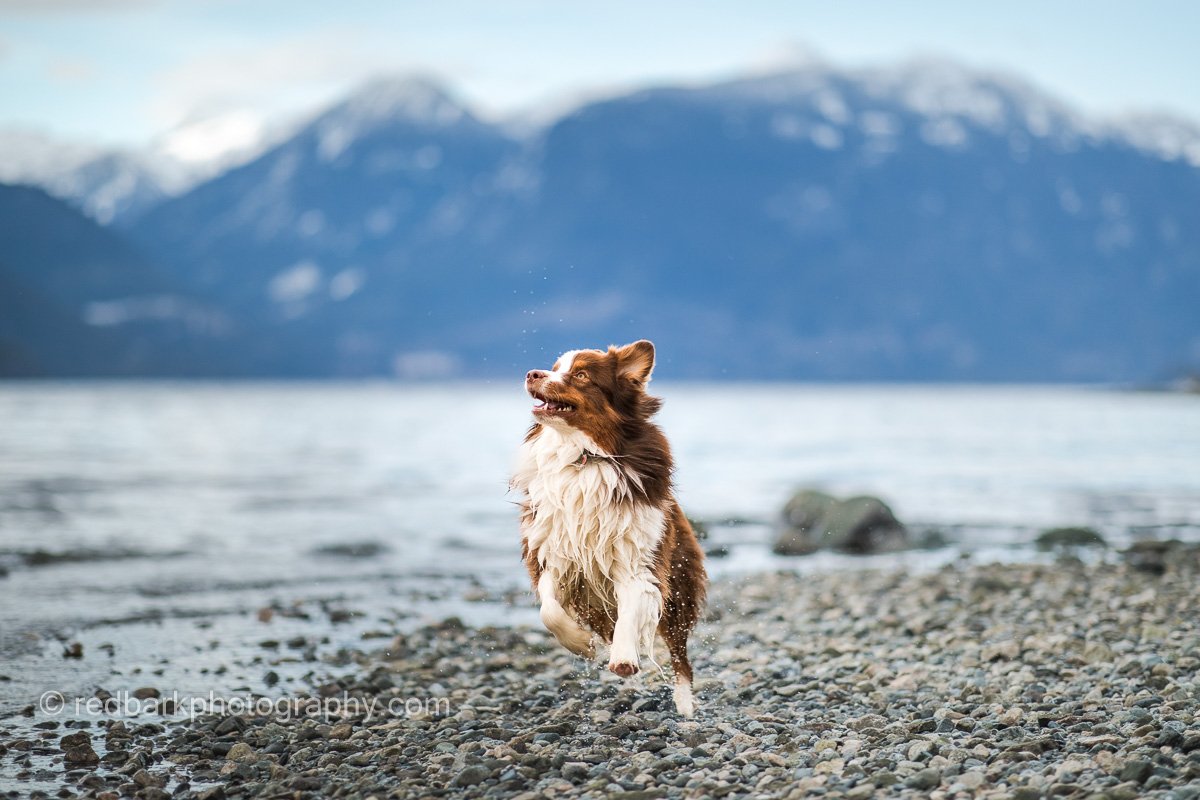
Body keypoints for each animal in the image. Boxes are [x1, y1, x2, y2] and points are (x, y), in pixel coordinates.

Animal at [511, 340, 705, 714]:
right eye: (554, 368)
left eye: (581, 375)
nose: (531, 374)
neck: (585, 458)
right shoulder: (554, 554)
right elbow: (549, 609)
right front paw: (581, 643)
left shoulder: (639, 561)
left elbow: (631, 608)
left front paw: (623, 657)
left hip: (679, 589)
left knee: (681, 657)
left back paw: (686, 706)